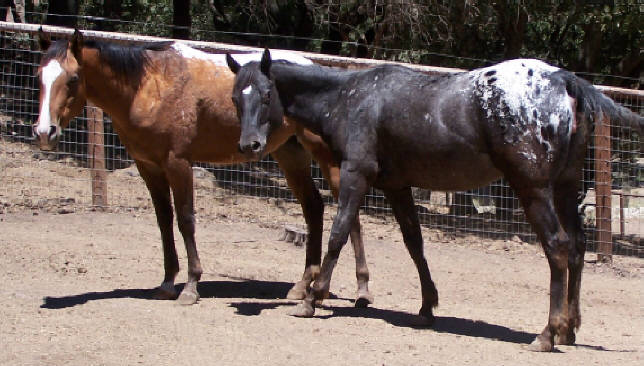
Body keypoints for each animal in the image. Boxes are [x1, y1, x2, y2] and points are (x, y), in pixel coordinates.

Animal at [32, 29, 374, 306]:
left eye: (72, 79)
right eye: (39, 77)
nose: (45, 132)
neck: (149, 87)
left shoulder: (178, 163)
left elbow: (186, 220)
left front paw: (191, 286)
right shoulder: (148, 166)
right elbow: (164, 221)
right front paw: (167, 283)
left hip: (328, 159)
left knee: (350, 216)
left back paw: (360, 289)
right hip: (290, 154)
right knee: (314, 208)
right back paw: (303, 286)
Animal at [228, 50, 644, 350]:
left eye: (266, 94)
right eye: (235, 98)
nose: (249, 145)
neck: (352, 98)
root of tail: (561, 79)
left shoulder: (356, 175)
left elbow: (338, 233)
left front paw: (312, 298)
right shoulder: (396, 186)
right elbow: (415, 243)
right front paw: (427, 306)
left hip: (534, 189)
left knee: (557, 247)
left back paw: (547, 334)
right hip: (566, 187)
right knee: (577, 247)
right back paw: (569, 329)